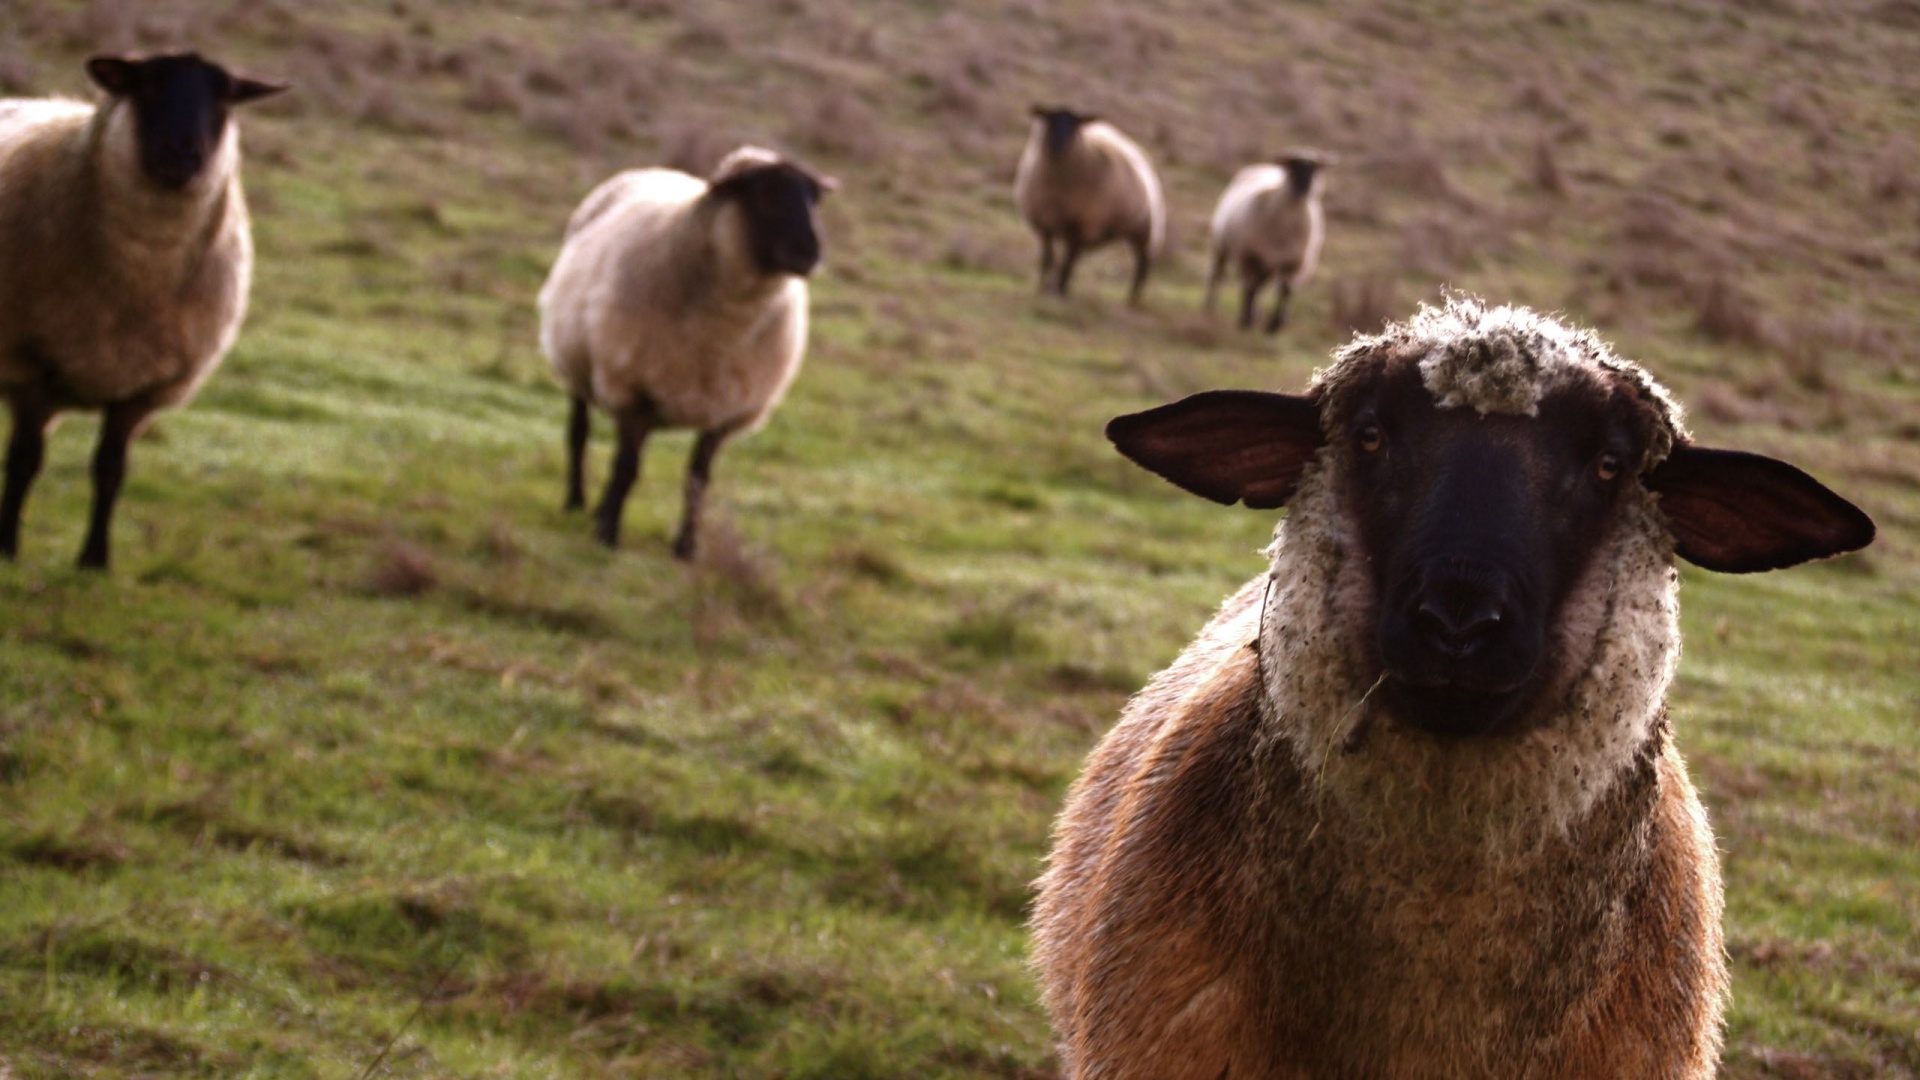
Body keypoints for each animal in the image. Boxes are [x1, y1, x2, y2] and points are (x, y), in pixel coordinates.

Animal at [0, 53, 286, 568]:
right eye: (146, 87)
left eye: (224, 99)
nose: (183, 153)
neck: (139, 274)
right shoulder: (29, 364)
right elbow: (24, 462)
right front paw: (7, 548)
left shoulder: (143, 388)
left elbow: (110, 469)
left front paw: (95, 560)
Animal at [541, 144, 840, 557]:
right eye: (765, 192)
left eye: (814, 198)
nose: (810, 254)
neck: (723, 328)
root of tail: (653, 169)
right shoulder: (634, 388)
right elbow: (626, 468)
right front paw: (608, 534)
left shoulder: (724, 407)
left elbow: (697, 479)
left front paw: (685, 547)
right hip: (578, 366)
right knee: (579, 433)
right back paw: (576, 501)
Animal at [1013, 105, 1159, 305]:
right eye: (1050, 119)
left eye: (1075, 124)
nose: (1059, 144)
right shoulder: (1045, 223)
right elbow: (1048, 258)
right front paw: (1042, 288)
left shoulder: (1081, 225)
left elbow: (1067, 262)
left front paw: (1059, 292)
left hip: (1141, 230)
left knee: (1142, 264)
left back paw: (1133, 299)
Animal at [1205, 148, 1328, 330]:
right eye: (1292, 166)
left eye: (1314, 169)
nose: (1304, 188)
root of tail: (1264, 166)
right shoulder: (1250, 256)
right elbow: (1250, 287)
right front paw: (1246, 319)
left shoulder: (1295, 263)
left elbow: (1285, 290)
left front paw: (1275, 324)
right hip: (1221, 245)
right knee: (1218, 276)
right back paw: (1210, 307)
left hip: (1268, 265)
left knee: (1260, 287)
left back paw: (1257, 313)